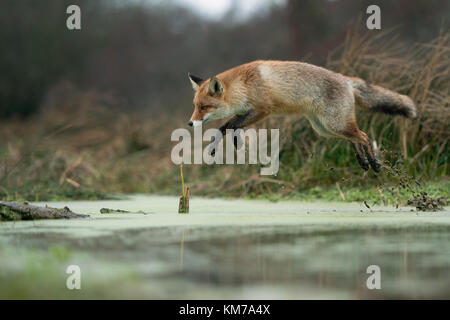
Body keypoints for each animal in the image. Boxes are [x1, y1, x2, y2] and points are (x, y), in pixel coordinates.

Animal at [185, 58, 414, 171]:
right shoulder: (245, 112)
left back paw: (374, 163)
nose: (190, 123)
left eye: (204, 107)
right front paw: (215, 148)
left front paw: (236, 142)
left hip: (335, 124)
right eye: (195, 106)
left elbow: (232, 126)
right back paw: (363, 162)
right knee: (356, 138)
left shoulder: (262, 110)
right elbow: (223, 127)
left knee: (364, 136)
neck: (245, 85)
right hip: (325, 129)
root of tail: (346, 79)